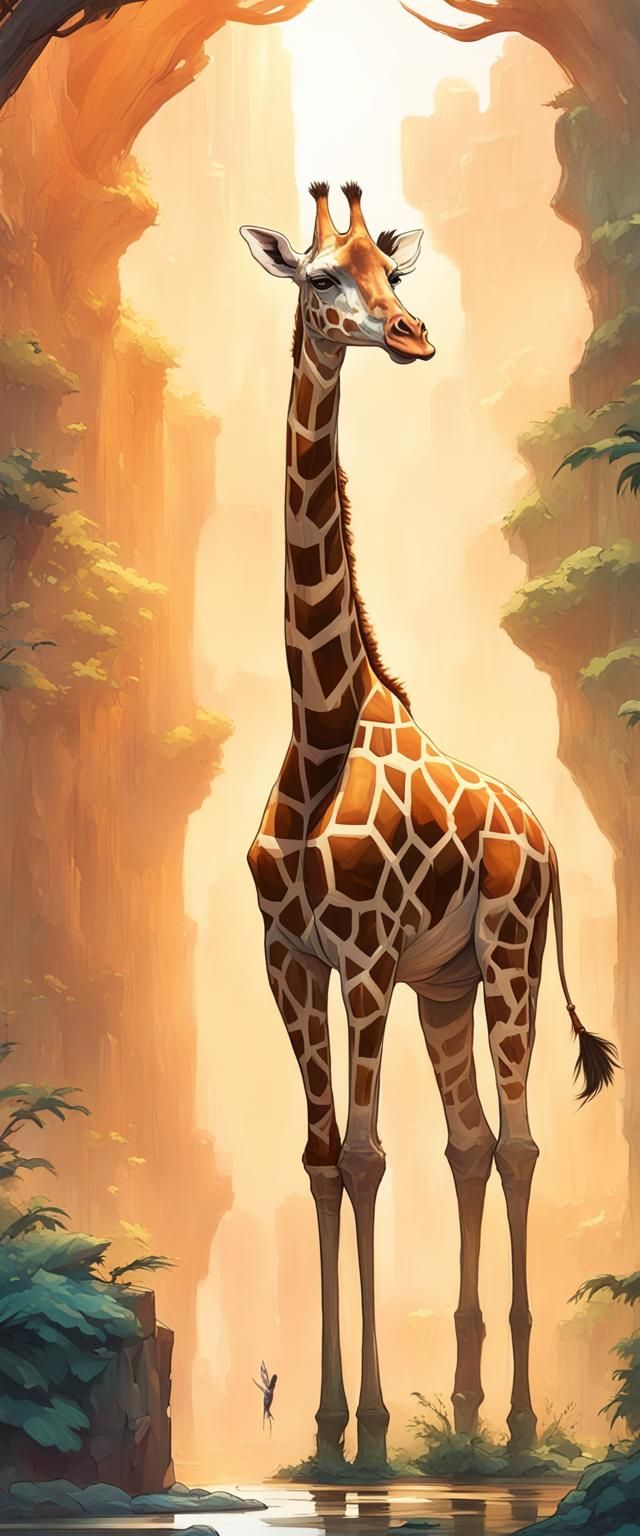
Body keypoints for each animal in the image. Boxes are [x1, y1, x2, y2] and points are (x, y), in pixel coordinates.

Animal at [240, 181, 618, 1471]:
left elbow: (365, 1156)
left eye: (387, 272)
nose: (408, 335)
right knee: (467, 1145)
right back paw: (459, 1413)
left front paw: (361, 1435)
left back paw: (513, 1426)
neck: (316, 733)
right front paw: (324, 1431)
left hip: (504, 959)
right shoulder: (291, 962)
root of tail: (545, 843)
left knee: (517, 1141)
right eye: (321, 279)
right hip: (446, 986)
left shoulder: (361, 961)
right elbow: (322, 1159)